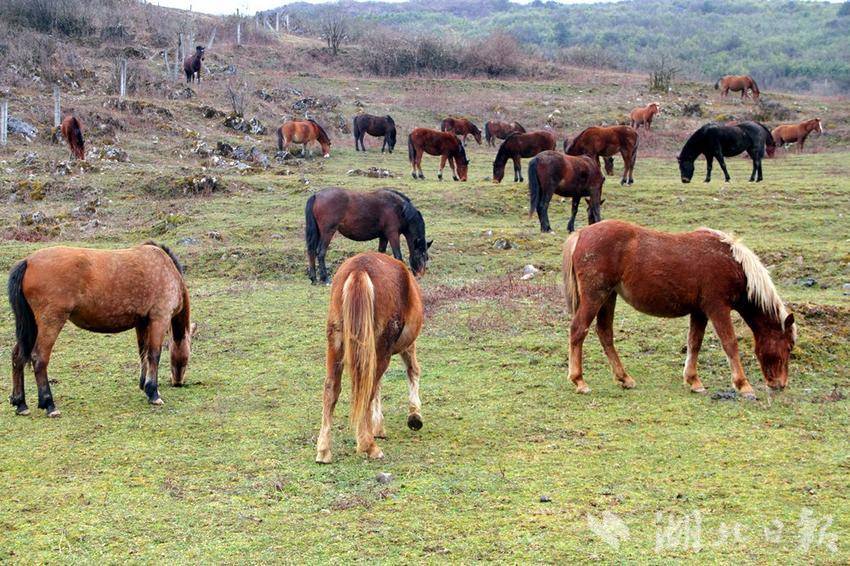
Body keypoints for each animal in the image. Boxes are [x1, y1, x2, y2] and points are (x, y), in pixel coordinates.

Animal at [7, 243, 193, 417]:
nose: (178, 382)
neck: (166, 267)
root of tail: (28, 261)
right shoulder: (159, 319)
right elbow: (153, 355)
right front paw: (153, 393)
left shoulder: (142, 322)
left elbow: (143, 353)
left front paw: (144, 386)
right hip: (50, 323)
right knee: (39, 358)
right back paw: (49, 404)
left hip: (31, 327)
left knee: (18, 356)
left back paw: (20, 403)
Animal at [315, 252, 424, 463]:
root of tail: (359, 269)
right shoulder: (406, 346)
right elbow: (412, 370)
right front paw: (415, 416)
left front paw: (377, 427)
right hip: (379, 347)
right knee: (369, 387)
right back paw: (368, 446)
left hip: (336, 342)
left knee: (332, 388)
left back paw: (324, 451)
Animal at [563, 220, 796, 398]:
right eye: (788, 347)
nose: (780, 384)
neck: (733, 263)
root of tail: (581, 234)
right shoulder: (717, 308)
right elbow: (730, 344)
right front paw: (743, 385)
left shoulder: (700, 311)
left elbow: (694, 343)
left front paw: (694, 381)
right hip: (595, 296)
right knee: (578, 330)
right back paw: (579, 381)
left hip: (608, 297)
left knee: (605, 333)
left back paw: (624, 378)